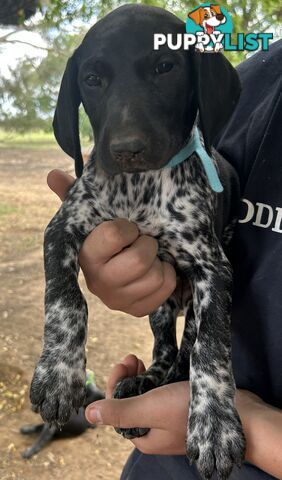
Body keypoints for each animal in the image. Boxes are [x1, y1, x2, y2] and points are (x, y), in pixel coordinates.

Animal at [30, 4, 246, 480]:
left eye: (165, 67)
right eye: (92, 78)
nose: (127, 150)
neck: (137, 191)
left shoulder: (213, 269)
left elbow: (211, 347)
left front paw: (214, 425)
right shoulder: (62, 227)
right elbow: (65, 300)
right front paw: (58, 374)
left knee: (186, 348)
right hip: (160, 306)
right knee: (165, 348)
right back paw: (146, 379)